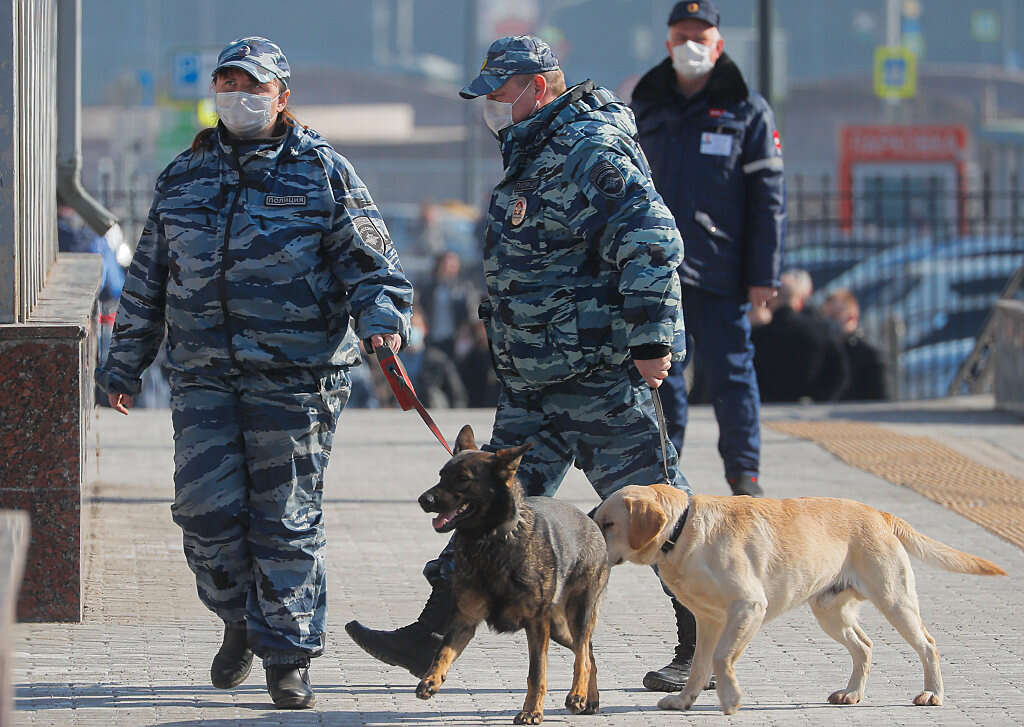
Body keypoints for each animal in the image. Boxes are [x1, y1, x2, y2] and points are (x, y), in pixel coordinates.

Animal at [414, 425, 609, 725]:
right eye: (441, 475)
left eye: (463, 479)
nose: (424, 500)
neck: (490, 540)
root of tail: (591, 520)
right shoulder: (465, 620)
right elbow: (443, 652)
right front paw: (431, 679)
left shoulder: (537, 624)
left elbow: (536, 673)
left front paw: (532, 711)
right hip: (559, 628)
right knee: (588, 653)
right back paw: (591, 699)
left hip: (577, 614)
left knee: (583, 656)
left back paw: (577, 695)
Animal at [591, 484, 1006, 715]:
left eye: (608, 524)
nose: (590, 540)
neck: (683, 531)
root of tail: (879, 513)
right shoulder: (708, 620)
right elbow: (699, 667)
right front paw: (684, 701)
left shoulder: (747, 607)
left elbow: (722, 659)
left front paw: (731, 698)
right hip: (829, 611)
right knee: (865, 646)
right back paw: (852, 693)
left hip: (894, 599)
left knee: (928, 645)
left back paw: (932, 693)